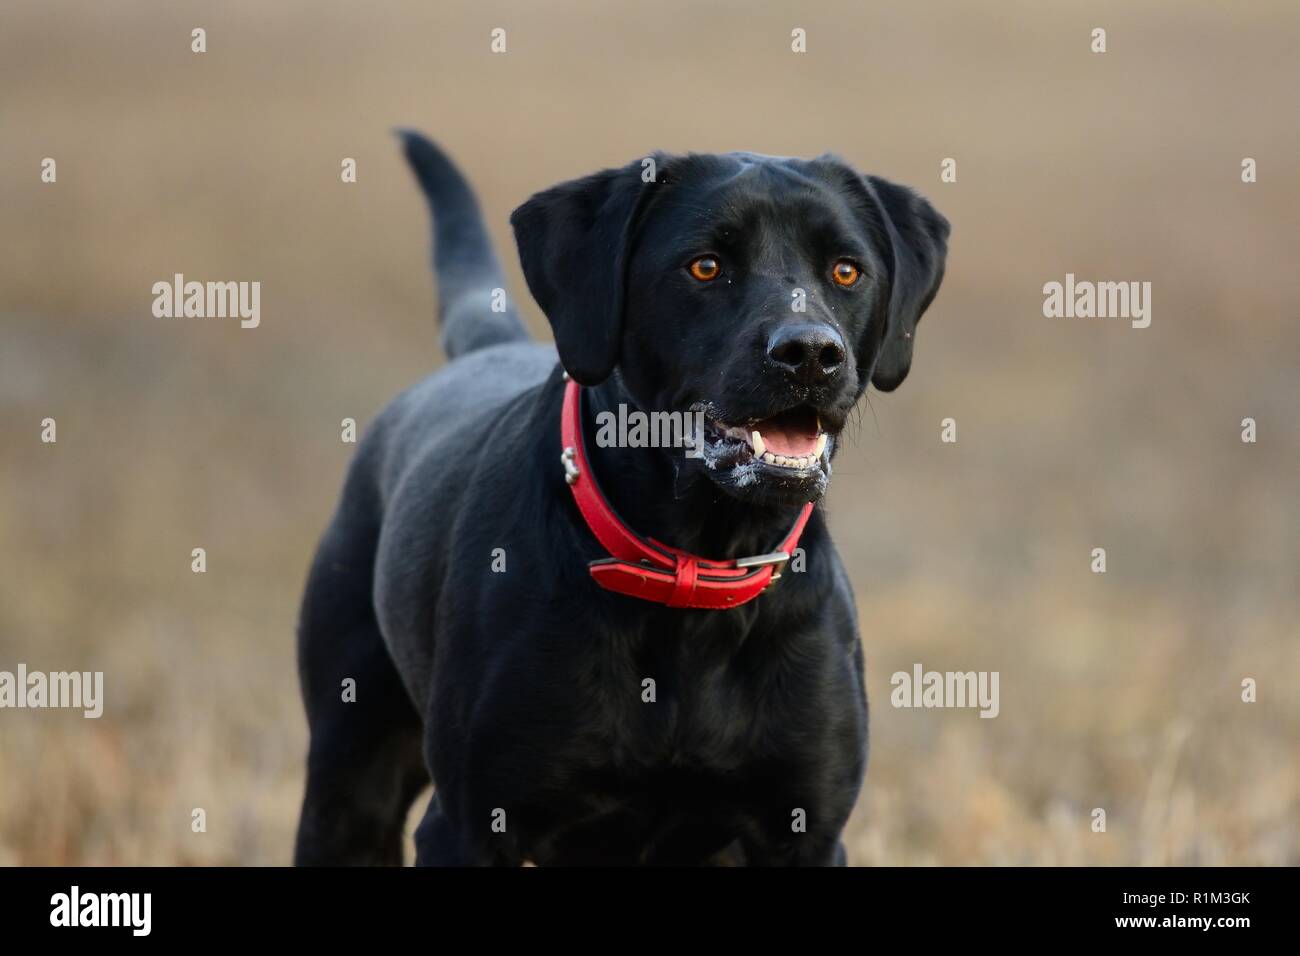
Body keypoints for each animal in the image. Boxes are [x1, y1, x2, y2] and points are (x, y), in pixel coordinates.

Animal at [292, 134, 946, 868]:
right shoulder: (467, 827)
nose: (810, 352)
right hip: (351, 778)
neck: (696, 575)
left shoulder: (804, 832)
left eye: (845, 271)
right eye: (705, 266)